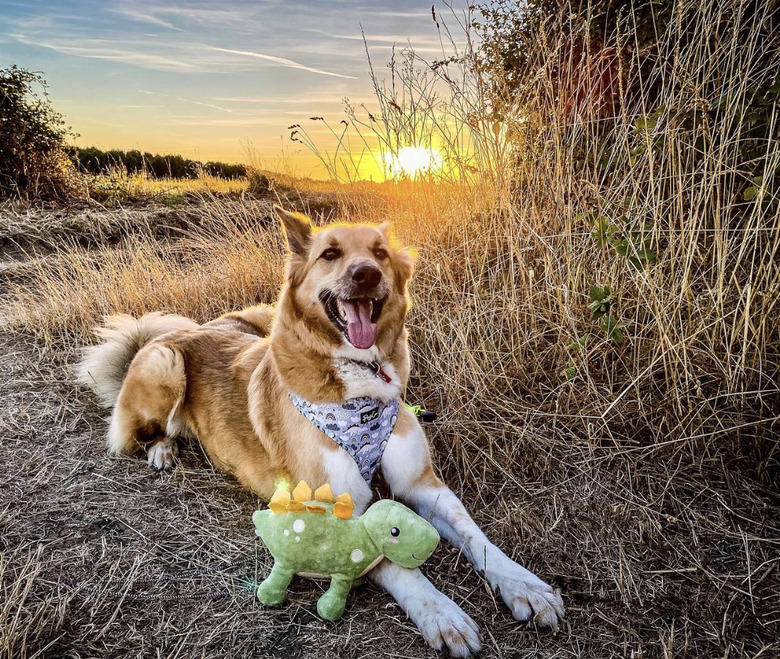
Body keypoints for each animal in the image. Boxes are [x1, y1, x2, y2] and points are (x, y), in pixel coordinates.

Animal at [79, 205, 564, 656]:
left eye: (380, 253)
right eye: (330, 254)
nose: (367, 274)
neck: (360, 389)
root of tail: (183, 330)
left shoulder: (423, 485)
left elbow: (475, 536)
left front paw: (526, 586)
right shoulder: (328, 512)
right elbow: (392, 564)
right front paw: (442, 614)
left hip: (255, 318)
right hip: (167, 365)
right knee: (139, 433)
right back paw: (163, 450)